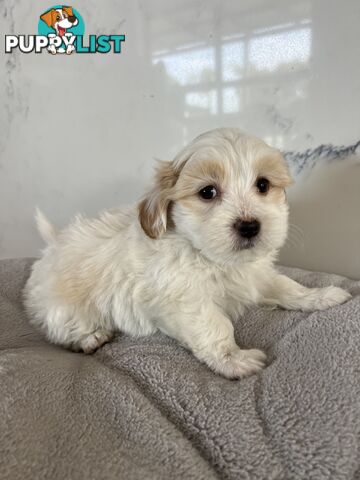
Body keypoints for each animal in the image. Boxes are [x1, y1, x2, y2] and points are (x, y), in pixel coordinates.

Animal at [23, 127, 350, 378]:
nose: (249, 226)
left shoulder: (256, 275)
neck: (212, 257)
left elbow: (287, 286)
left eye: (263, 184)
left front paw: (320, 296)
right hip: (63, 308)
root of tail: (54, 244)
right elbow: (214, 325)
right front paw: (234, 360)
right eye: (207, 192)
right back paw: (91, 337)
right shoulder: (184, 298)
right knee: (60, 330)